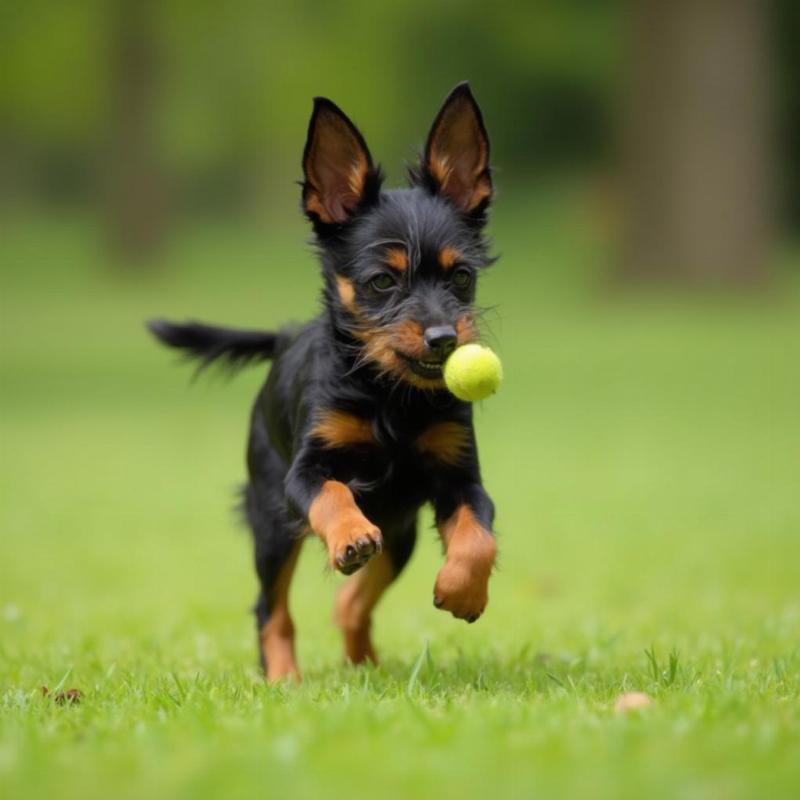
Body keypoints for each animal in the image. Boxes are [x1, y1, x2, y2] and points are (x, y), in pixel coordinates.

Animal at [149, 81, 496, 680]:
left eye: (461, 276)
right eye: (381, 282)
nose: (443, 339)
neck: (389, 396)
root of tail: (286, 337)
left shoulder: (460, 481)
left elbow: (480, 538)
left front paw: (462, 591)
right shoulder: (303, 476)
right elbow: (334, 494)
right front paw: (350, 535)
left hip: (400, 534)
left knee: (350, 603)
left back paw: (366, 667)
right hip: (272, 524)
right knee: (271, 608)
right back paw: (284, 679)